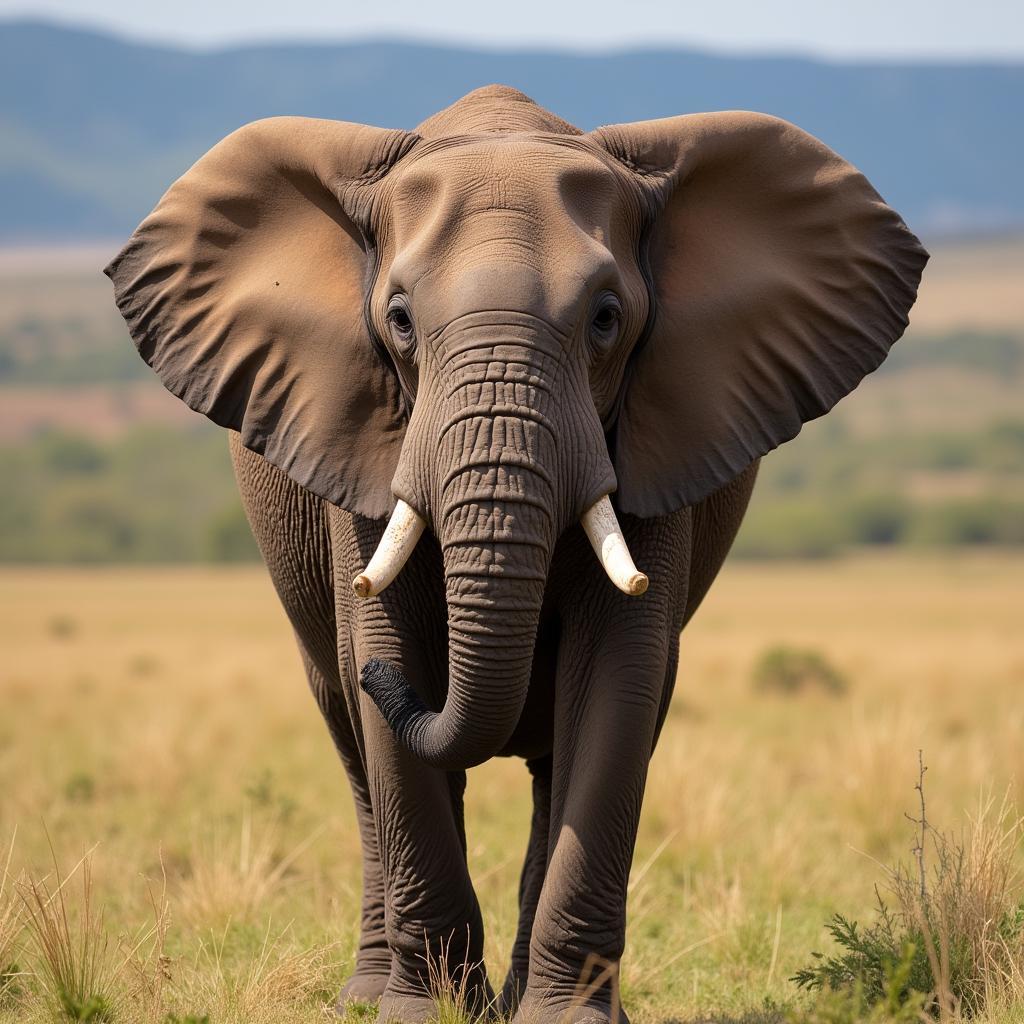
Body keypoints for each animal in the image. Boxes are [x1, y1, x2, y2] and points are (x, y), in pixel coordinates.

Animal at [105, 83, 929, 1019]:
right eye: (398, 321)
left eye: (607, 319)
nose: (382, 684)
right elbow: (387, 656)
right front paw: (423, 1012)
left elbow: (619, 675)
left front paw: (565, 1017)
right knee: (351, 737)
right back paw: (369, 990)